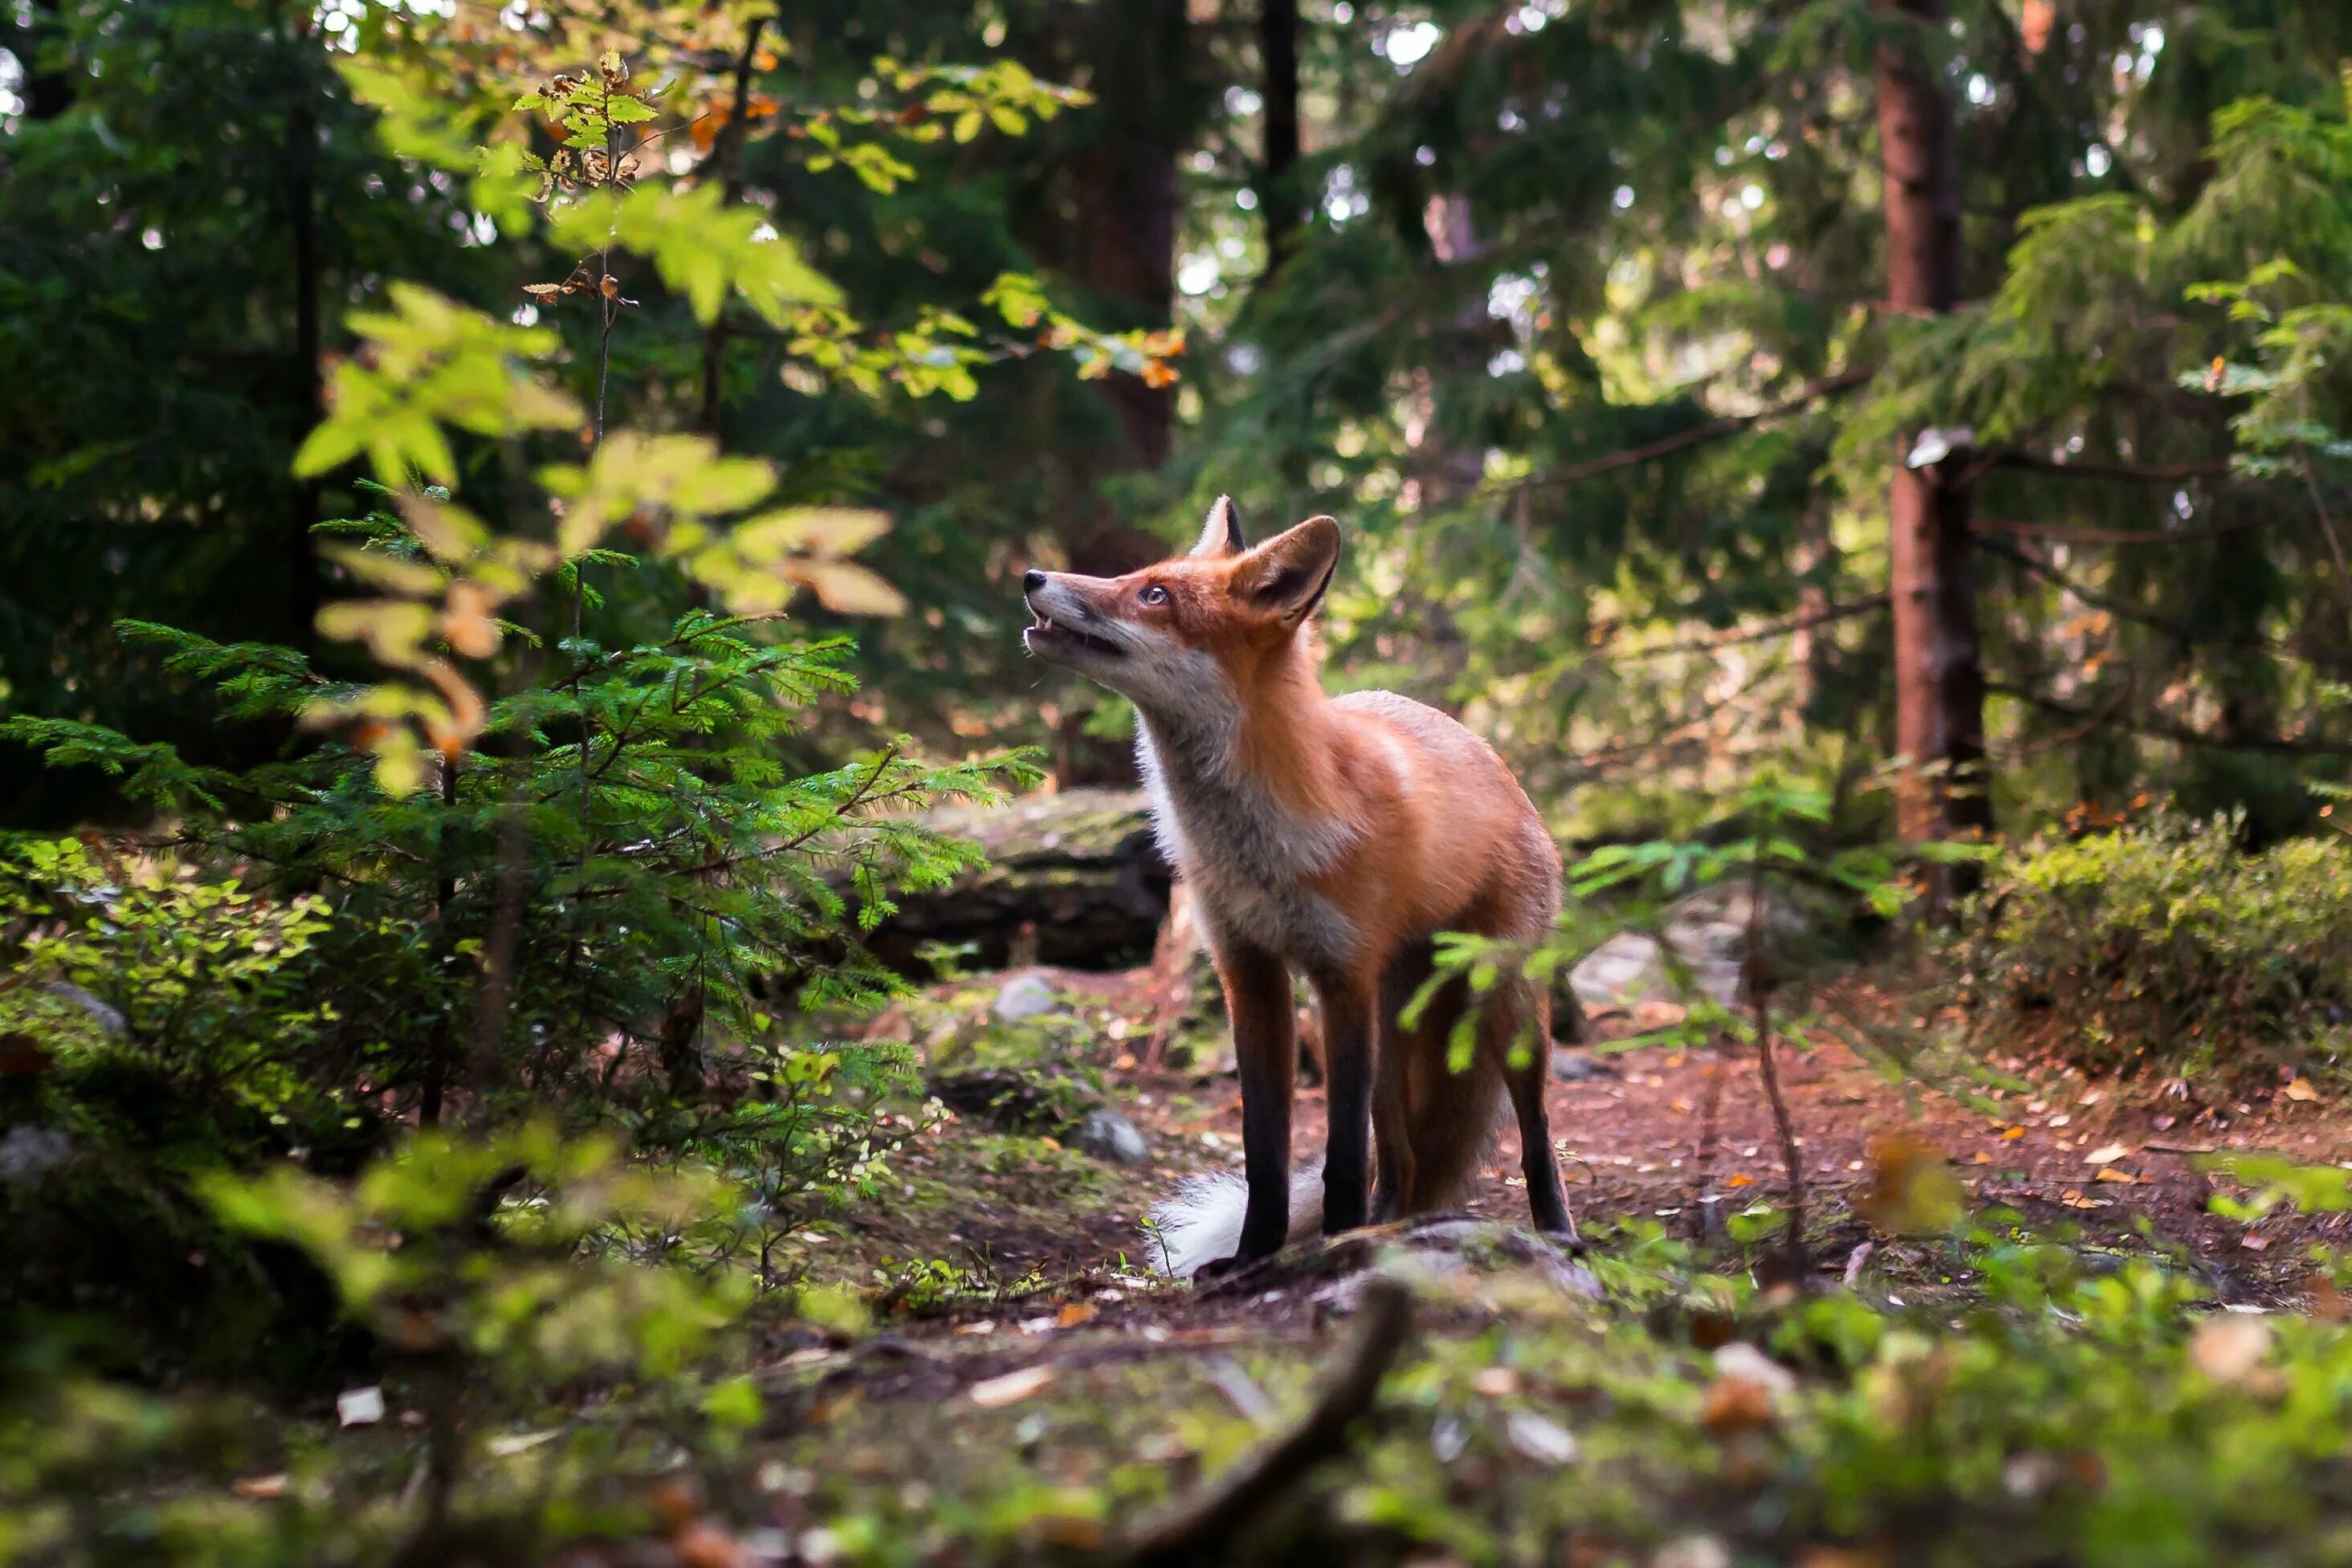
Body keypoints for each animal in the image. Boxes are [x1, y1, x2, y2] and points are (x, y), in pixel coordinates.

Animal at [1021, 495, 1571, 1278]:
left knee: (1535, 1136)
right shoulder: (1249, 972)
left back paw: (1554, 1233)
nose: (1031, 576)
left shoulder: (1341, 977)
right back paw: (1384, 1228)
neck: (1256, 847)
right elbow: (1266, 1151)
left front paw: (1327, 1247)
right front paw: (1254, 1255)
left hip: (1504, 1003)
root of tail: (1492, 757)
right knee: (1399, 1159)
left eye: (1155, 595)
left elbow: (1339, 1155)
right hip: (1392, 1035)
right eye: (1136, 576)